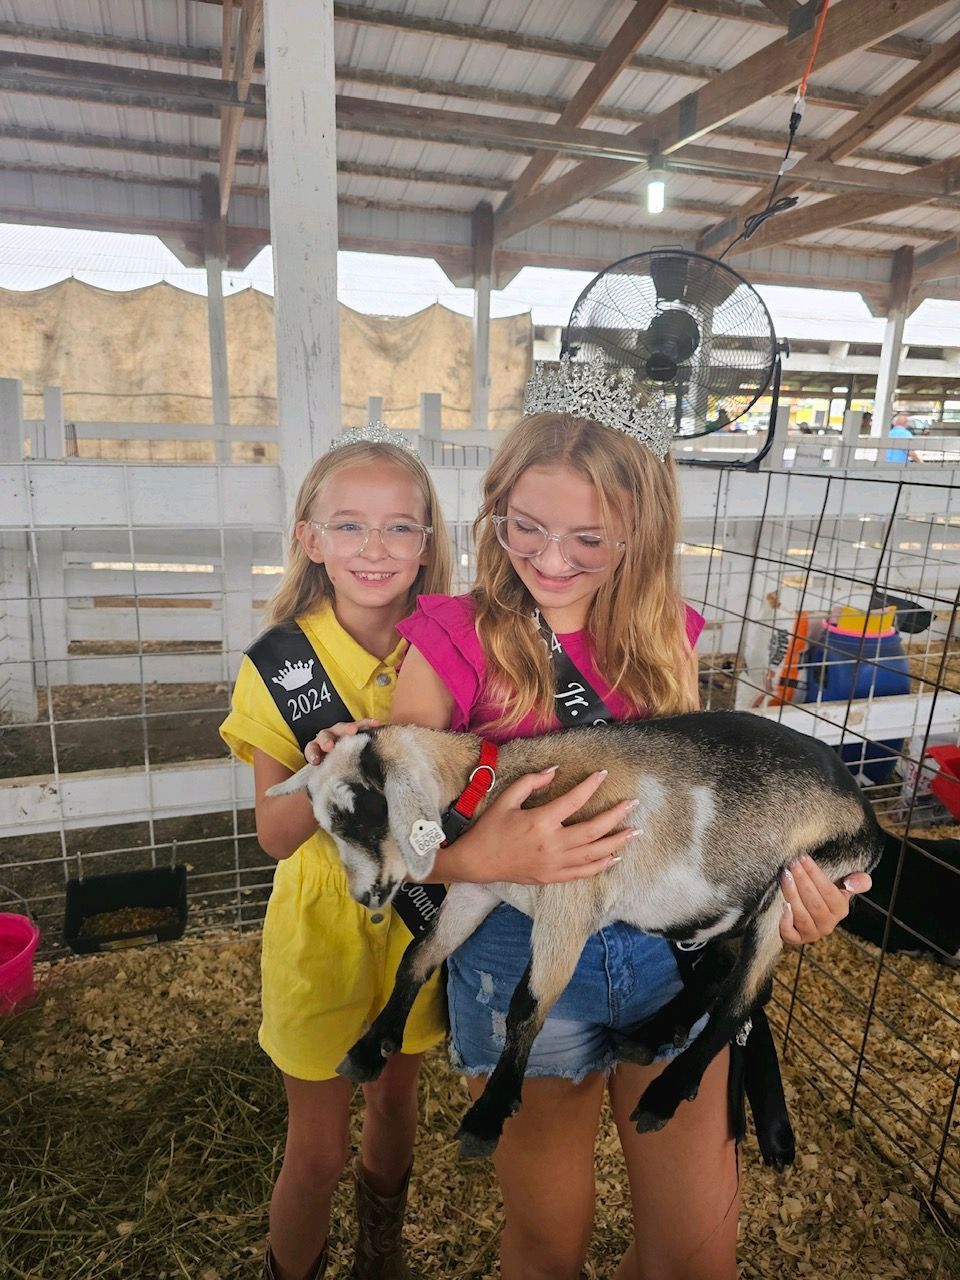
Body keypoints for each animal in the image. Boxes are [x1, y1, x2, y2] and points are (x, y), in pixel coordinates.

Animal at [269, 710, 883, 1158]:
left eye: (364, 813)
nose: (367, 897)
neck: (492, 786)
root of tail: (868, 820)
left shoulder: (569, 906)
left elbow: (527, 1006)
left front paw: (488, 1117)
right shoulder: (480, 889)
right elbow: (420, 956)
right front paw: (370, 1048)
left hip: (799, 882)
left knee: (745, 995)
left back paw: (663, 1097)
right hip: (723, 904)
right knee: (721, 974)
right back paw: (652, 1035)